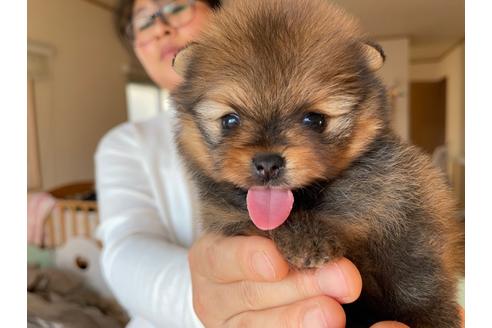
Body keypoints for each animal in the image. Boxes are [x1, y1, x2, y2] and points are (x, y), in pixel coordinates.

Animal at [171, 0, 464, 326]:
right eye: (229, 121)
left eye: (315, 120)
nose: (267, 163)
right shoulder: (226, 217)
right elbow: (255, 222)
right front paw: (302, 238)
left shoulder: (407, 197)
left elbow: (413, 269)